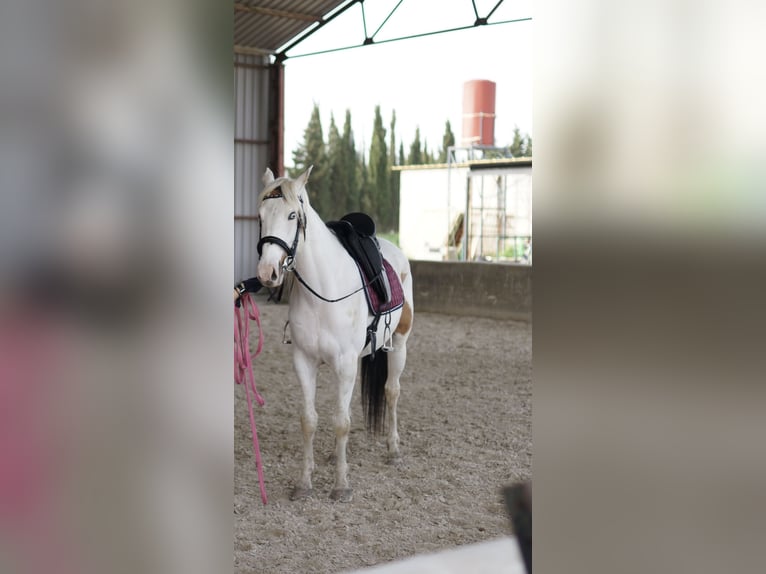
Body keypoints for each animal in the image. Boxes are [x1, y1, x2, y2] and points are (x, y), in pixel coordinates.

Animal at [256, 166, 414, 502]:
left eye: (292, 215)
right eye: (260, 216)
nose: (266, 273)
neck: (323, 289)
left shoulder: (344, 363)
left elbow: (341, 422)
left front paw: (341, 486)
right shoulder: (304, 361)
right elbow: (310, 420)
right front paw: (304, 482)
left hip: (400, 344)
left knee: (391, 391)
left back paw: (393, 450)